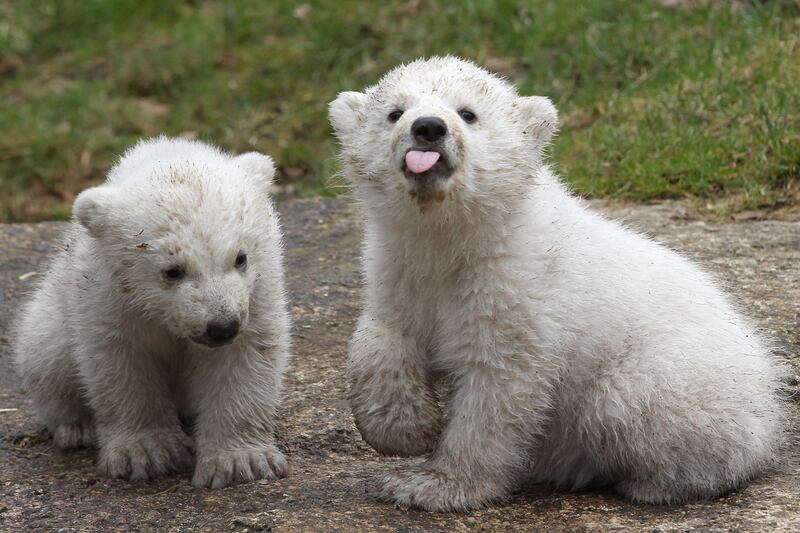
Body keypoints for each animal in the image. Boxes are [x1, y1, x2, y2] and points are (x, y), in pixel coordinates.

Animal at [13, 136, 291, 489]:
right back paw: (77, 428)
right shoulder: (110, 296)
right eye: (172, 271)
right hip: (50, 315)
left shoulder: (259, 290)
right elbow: (124, 365)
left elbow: (247, 357)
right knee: (48, 357)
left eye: (241, 257)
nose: (222, 326)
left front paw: (241, 462)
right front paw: (147, 453)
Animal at [329, 56, 788, 512]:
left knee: (626, 405)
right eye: (395, 113)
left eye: (467, 113)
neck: (458, 238)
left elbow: (498, 388)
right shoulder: (397, 265)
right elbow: (384, 333)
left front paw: (433, 485)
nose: (428, 127)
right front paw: (404, 431)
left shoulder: (517, 291)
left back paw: (654, 482)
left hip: (677, 377)